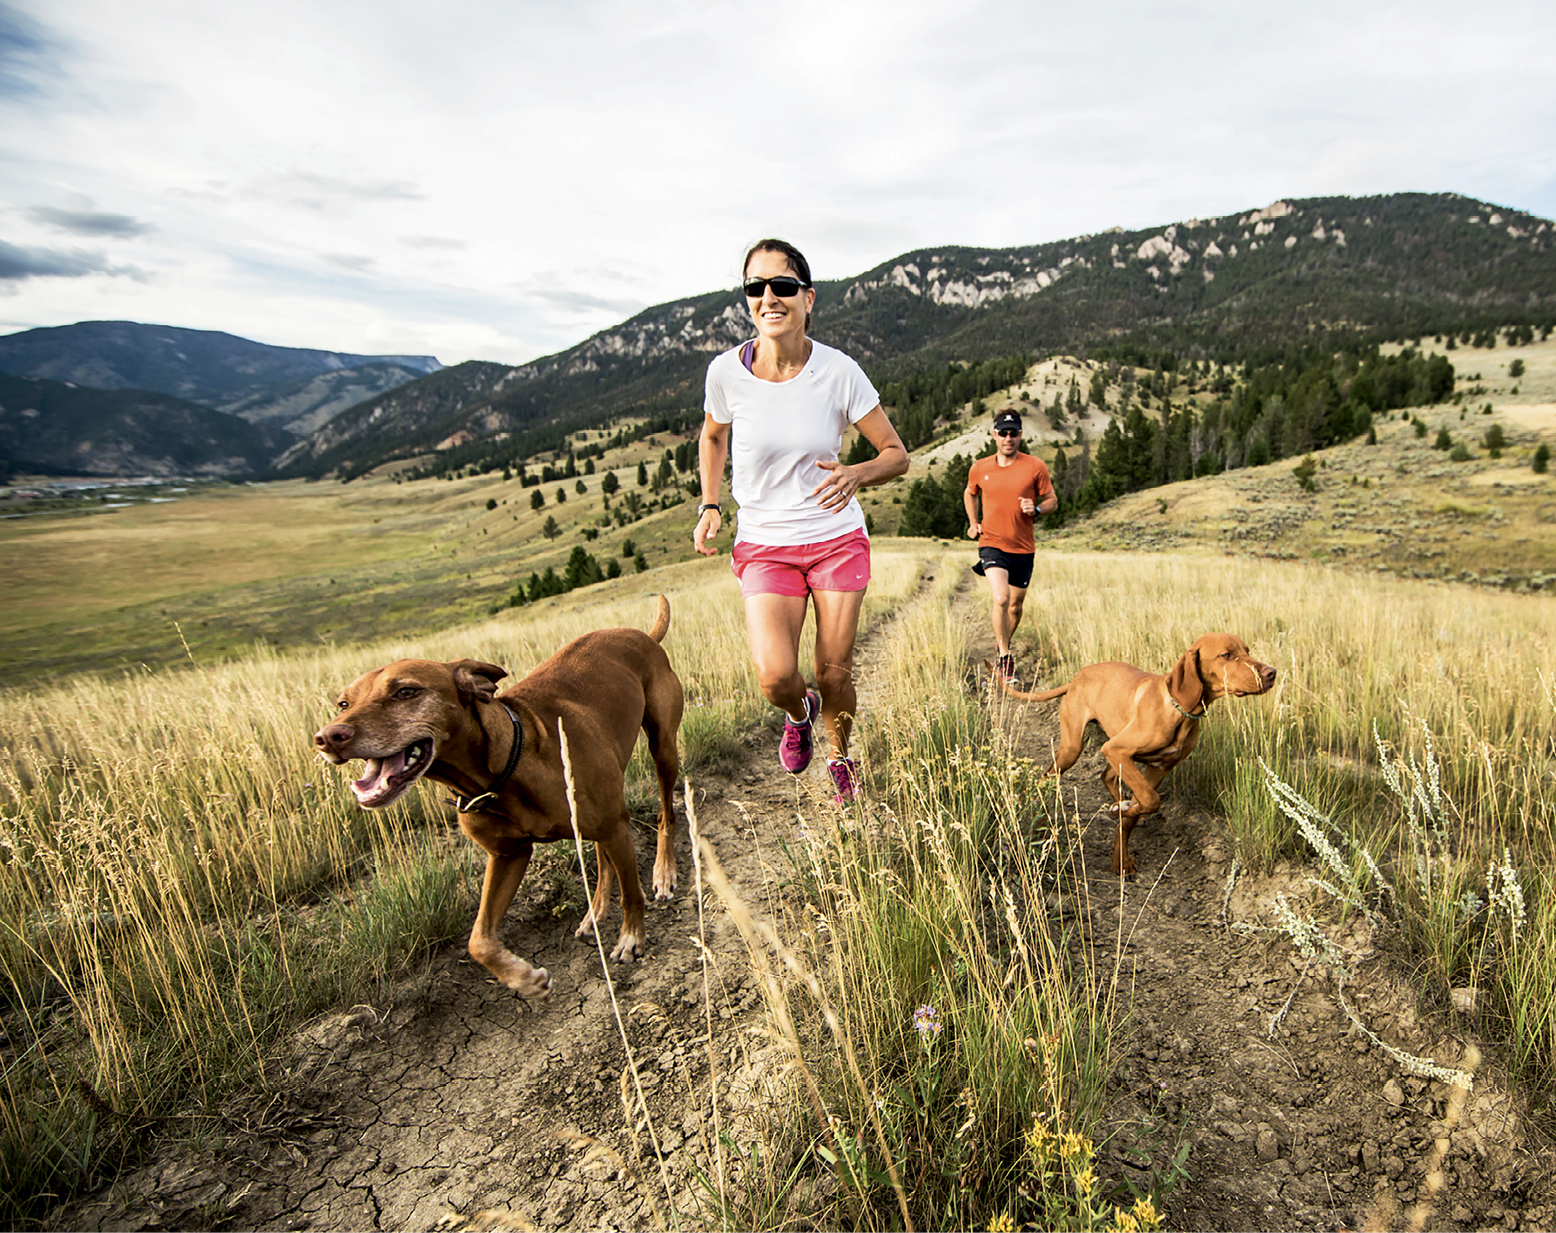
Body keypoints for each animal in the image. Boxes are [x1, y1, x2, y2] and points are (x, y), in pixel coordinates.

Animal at [314, 591, 681, 996]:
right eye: (343, 703)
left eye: (405, 692)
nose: (328, 737)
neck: (503, 770)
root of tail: (643, 636)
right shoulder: (507, 856)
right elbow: (478, 940)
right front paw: (523, 978)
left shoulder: (615, 827)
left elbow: (633, 894)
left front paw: (631, 938)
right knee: (603, 859)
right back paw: (595, 912)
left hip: (662, 748)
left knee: (666, 813)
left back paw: (664, 872)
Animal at [995, 635, 1275, 878]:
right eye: (1226, 655)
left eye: (1247, 651)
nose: (1271, 673)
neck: (1180, 710)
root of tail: (1076, 678)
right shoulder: (1116, 750)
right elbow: (1151, 800)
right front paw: (1124, 814)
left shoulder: (1158, 767)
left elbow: (1140, 809)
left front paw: (1121, 854)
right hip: (1073, 748)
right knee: (1046, 777)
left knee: (1106, 775)